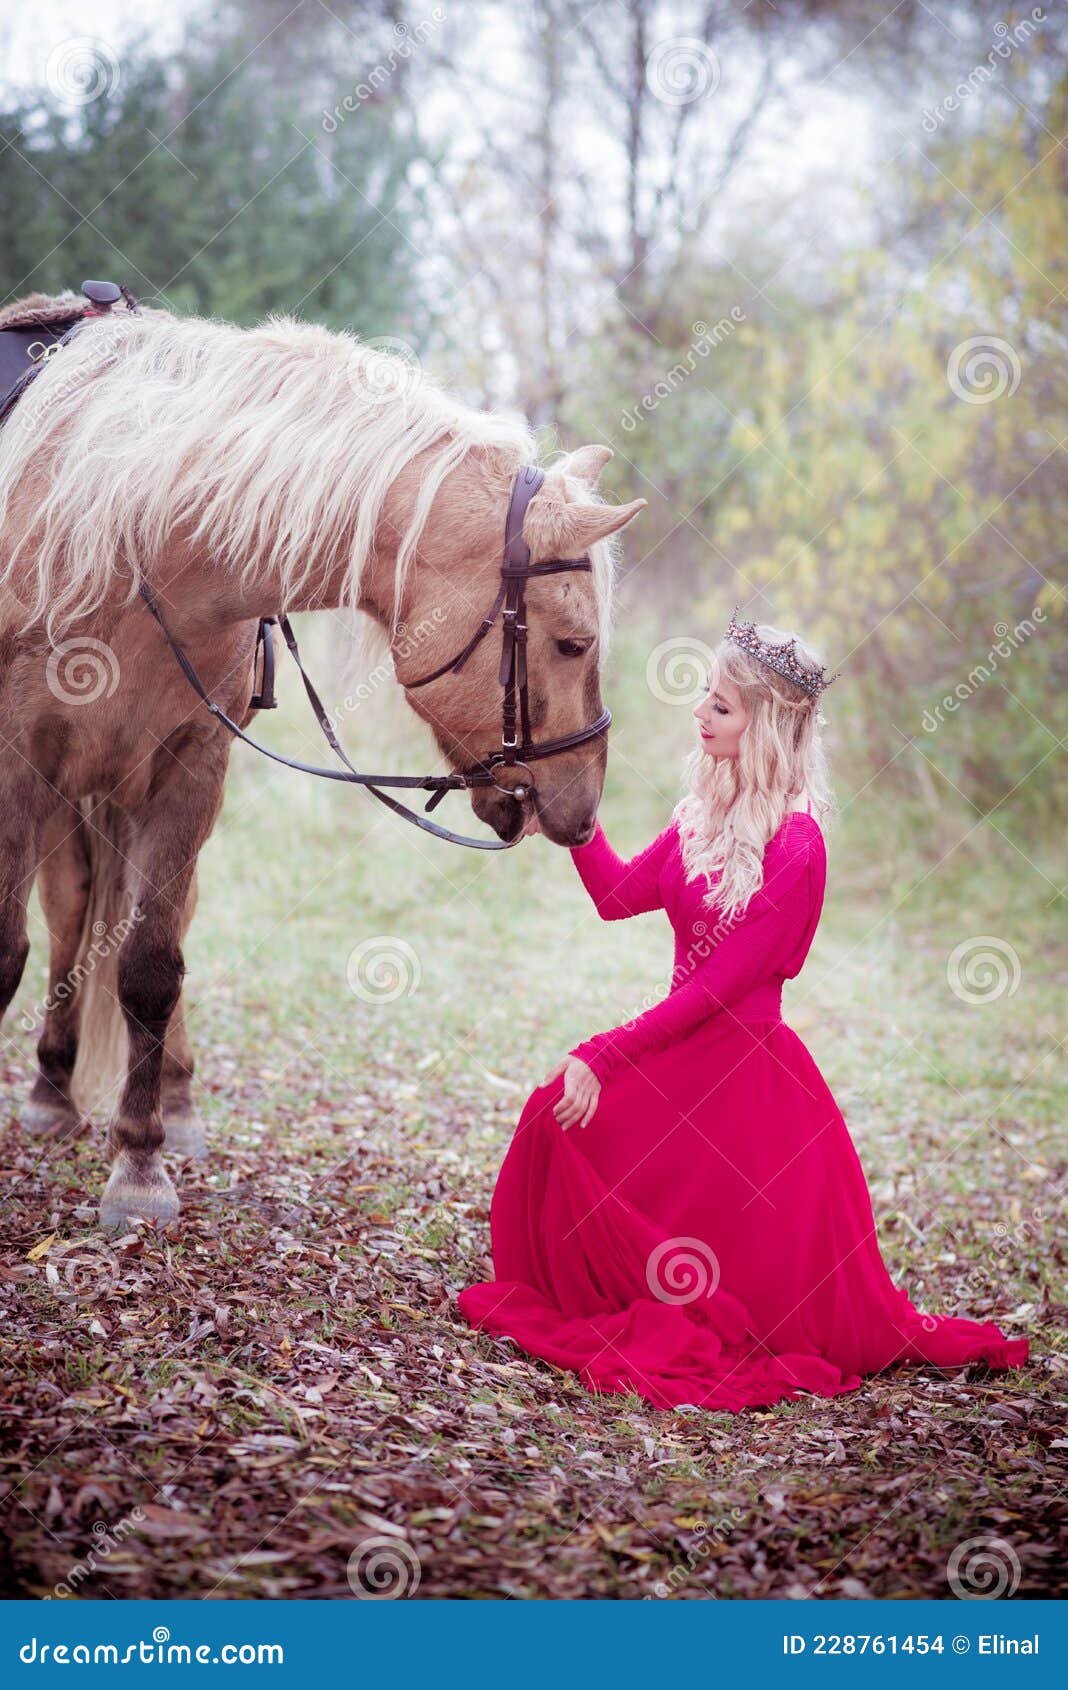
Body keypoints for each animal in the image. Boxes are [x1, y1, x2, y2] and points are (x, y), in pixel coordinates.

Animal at [0, 290, 642, 1230]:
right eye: (572, 642)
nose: (582, 804)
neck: (132, 534)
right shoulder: (20, 765)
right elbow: (10, 949)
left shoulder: (191, 768)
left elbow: (151, 964)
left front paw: (141, 1164)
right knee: (73, 909)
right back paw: (52, 1087)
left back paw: (158, 1098)